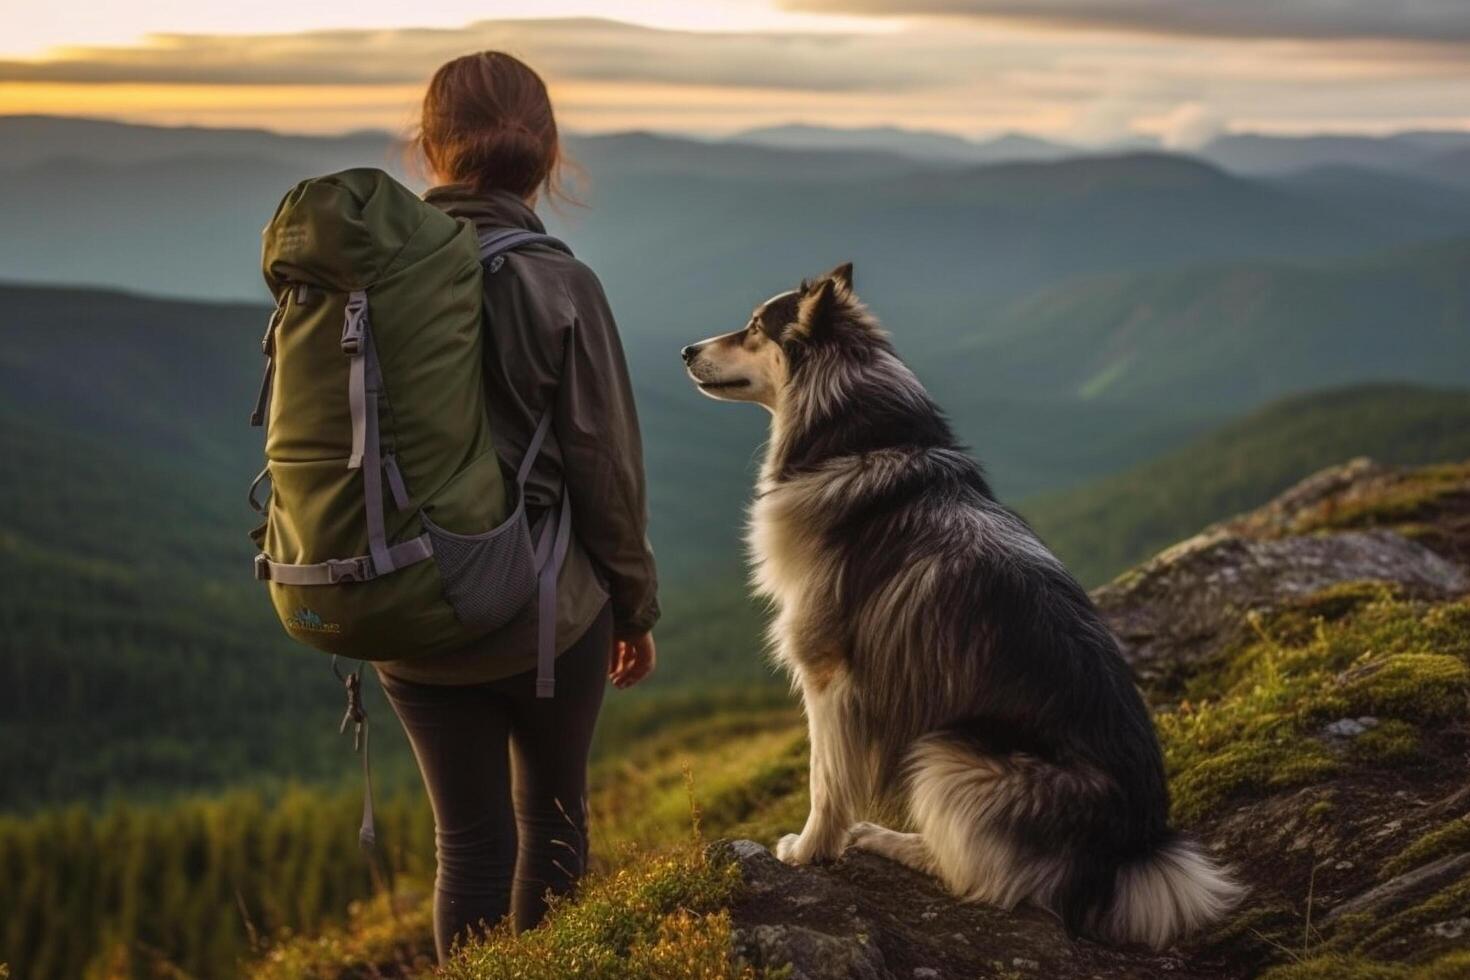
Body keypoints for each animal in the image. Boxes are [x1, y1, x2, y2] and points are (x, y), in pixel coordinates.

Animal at [682, 264, 1234, 946]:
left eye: (756, 326)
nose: (686, 351)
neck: (860, 442)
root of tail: (1135, 849)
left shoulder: (828, 669)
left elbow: (825, 778)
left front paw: (809, 850)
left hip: (946, 754)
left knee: (985, 877)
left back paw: (892, 840)